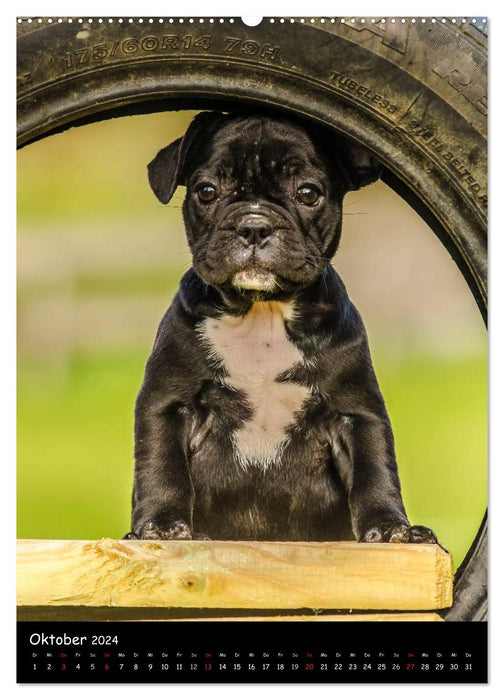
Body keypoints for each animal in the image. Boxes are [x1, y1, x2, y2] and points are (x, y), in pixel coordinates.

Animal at [125, 110, 438, 548]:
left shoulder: (356, 412)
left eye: (308, 193)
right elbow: (161, 466)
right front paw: (163, 526)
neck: (263, 313)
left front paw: (393, 527)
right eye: (206, 191)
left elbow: (374, 468)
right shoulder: (169, 402)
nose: (255, 226)